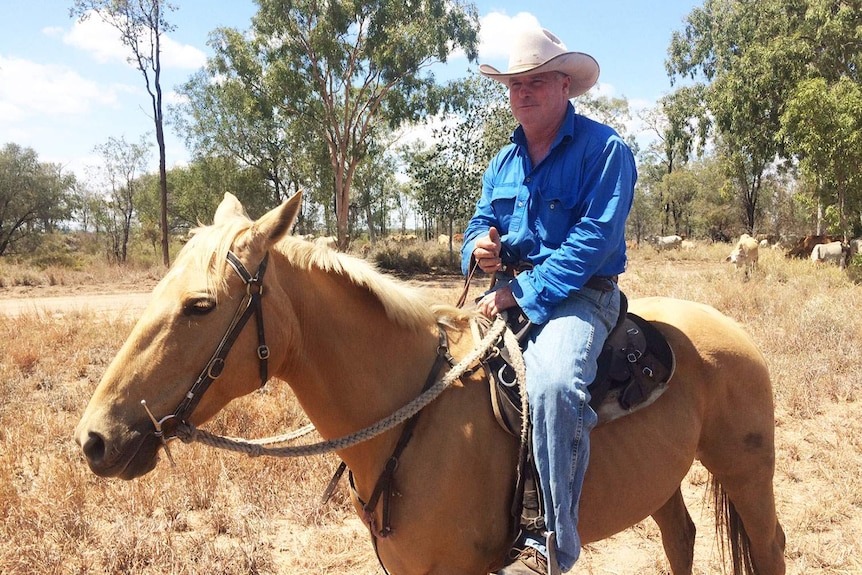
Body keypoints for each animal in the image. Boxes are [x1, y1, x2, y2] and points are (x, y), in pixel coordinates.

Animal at [76, 195, 788, 575]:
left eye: (199, 305)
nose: (95, 439)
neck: (410, 419)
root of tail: (734, 329)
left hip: (747, 472)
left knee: (770, 544)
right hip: (664, 479)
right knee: (680, 537)